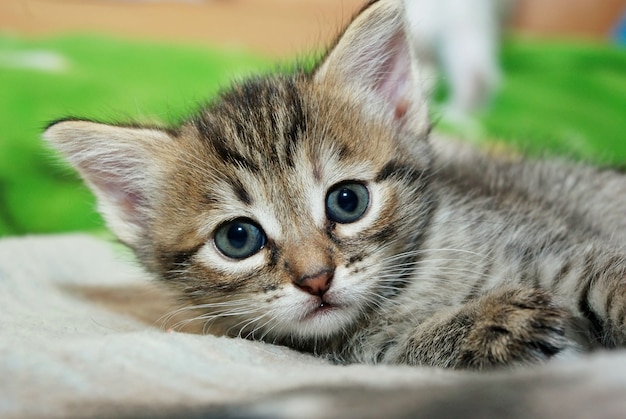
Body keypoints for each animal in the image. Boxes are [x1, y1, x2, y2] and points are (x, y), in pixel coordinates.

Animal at [44, 0, 624, 370]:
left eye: (348, 201)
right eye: (238, 239)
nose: (316, 279)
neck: (409, 292)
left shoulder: (560, 247)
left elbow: (611, 278)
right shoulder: (364, 352)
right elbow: (410, 349)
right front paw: (487, 324)